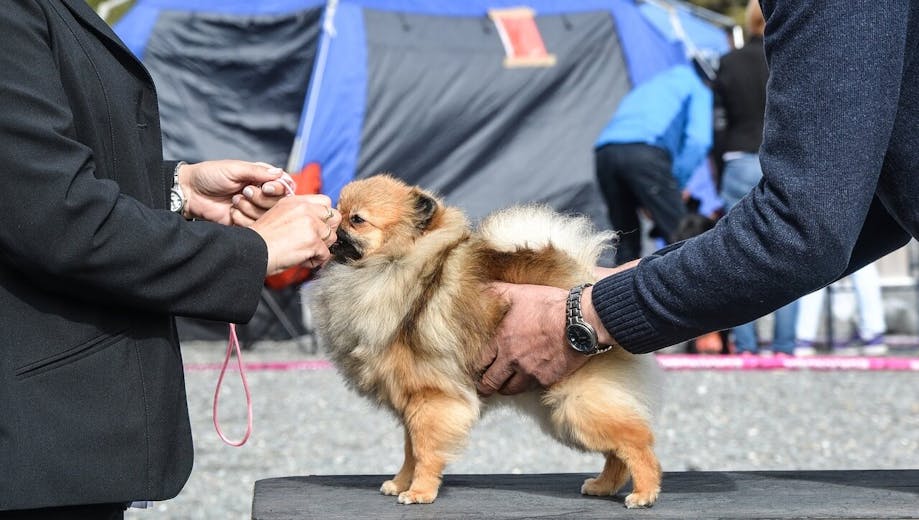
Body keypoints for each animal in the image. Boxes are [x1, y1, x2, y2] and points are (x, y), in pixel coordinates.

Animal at [310, 174, 660, 508]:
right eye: (338, 209)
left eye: (356, 219)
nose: (330, 220)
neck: (392, 265)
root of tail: (583, 278)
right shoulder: (412, 403)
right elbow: (410, 451)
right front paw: (400, 483)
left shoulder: (432, 399)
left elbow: (425, 452)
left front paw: (419, 492)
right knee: (617, 450)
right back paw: (603, 486)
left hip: (575, 403)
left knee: (637, 441)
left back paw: (644, 492)